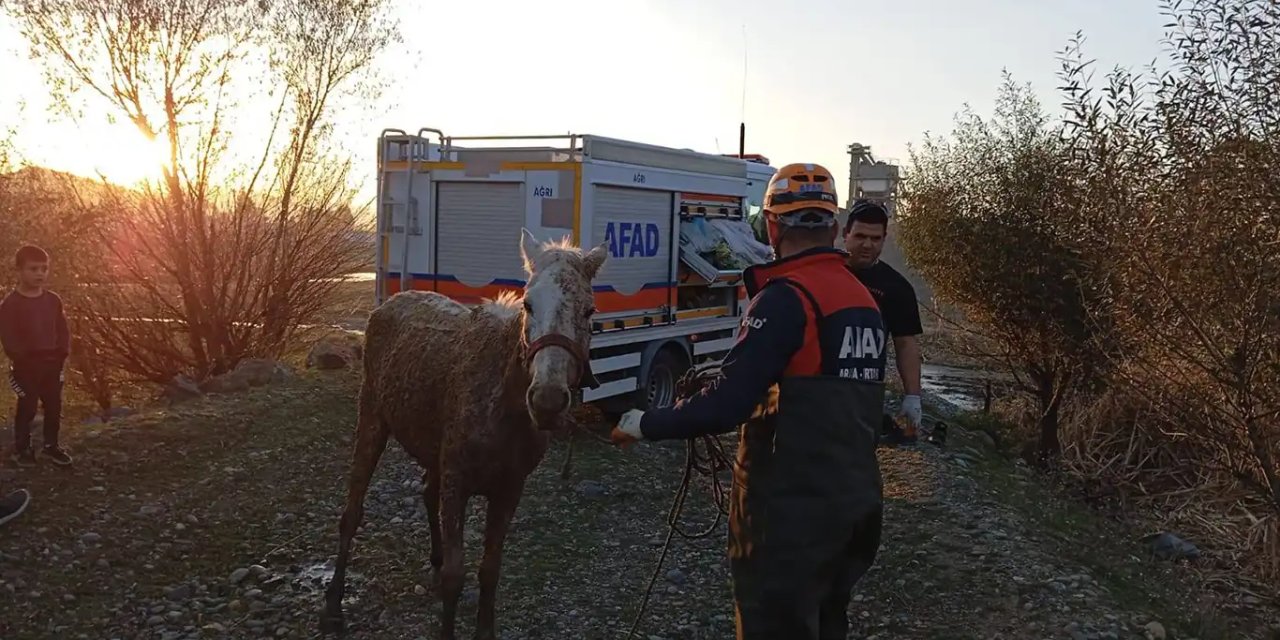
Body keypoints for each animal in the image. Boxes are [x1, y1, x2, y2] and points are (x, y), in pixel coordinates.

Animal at [322, 231, 606, 640]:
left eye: (589, 311)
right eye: (529, 304)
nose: (548, 400)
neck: (502, 406)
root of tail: (389, 303)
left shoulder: (509, 487)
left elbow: (489, 570)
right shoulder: (458, 479)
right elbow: (456, 577)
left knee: (427, 492)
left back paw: (434, 559)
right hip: (372, 418)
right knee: (352, 512)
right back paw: (332, 603)